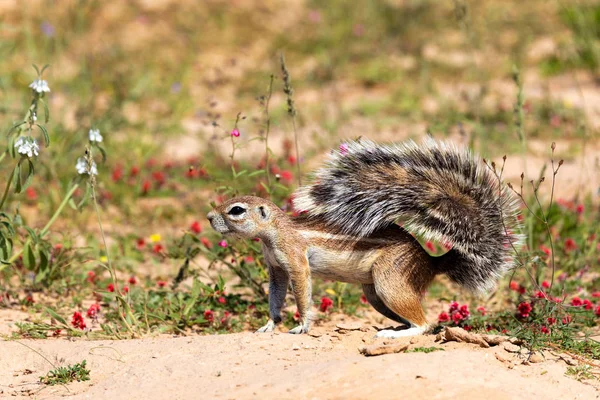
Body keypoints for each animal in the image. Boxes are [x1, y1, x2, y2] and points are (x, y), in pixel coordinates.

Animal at [209, 138, 524, 338]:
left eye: (236, 210)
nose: (210, 218)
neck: (274, 232)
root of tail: (431, 260)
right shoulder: (276, 269)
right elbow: (275, 297)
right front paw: (269, 325)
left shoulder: (296, 260)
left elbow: (302, 294)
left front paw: (302, 326)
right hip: (374, 294)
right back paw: (395, 328)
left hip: (390, 280)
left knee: (425, 324)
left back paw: (396, 334)